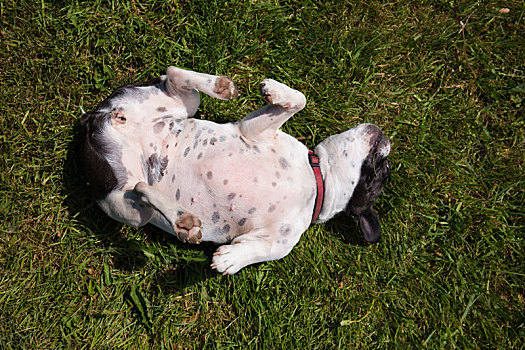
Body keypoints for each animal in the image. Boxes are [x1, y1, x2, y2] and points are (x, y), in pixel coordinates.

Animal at [79, 65, 388, 274]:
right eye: (382, 170)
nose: (386, 139)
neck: (315, 182)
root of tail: (101, 115)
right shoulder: (254, 130)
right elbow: (300, 99)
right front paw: (276, 91)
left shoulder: (276, 242)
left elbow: (258, 250)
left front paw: (230, 259)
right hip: (126, 200)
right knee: (172, 73)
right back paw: (221, 86)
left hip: (129, 204)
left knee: (141, 187)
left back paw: (184, 222)